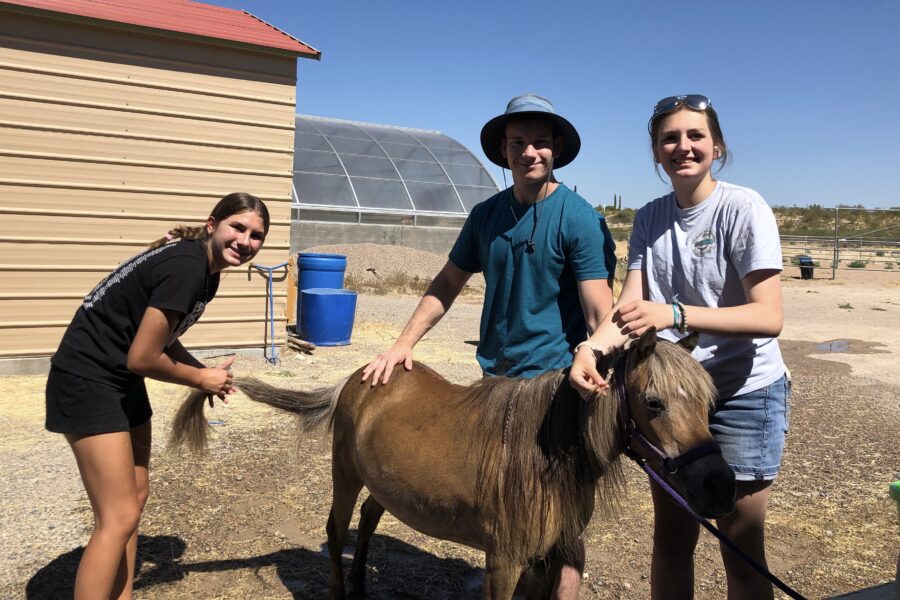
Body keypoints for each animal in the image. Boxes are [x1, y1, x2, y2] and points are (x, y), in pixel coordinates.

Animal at [172, 330, 736, 596]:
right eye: (654, 403)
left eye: (710, 402)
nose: (720, 486)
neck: (544, 459)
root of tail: (357, 379)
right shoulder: (504, 560)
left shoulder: (546, 559)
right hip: (344, 475)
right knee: (335, 530)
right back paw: (338, 589)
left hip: (383, 485)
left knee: (368, 522)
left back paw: (361, 585)